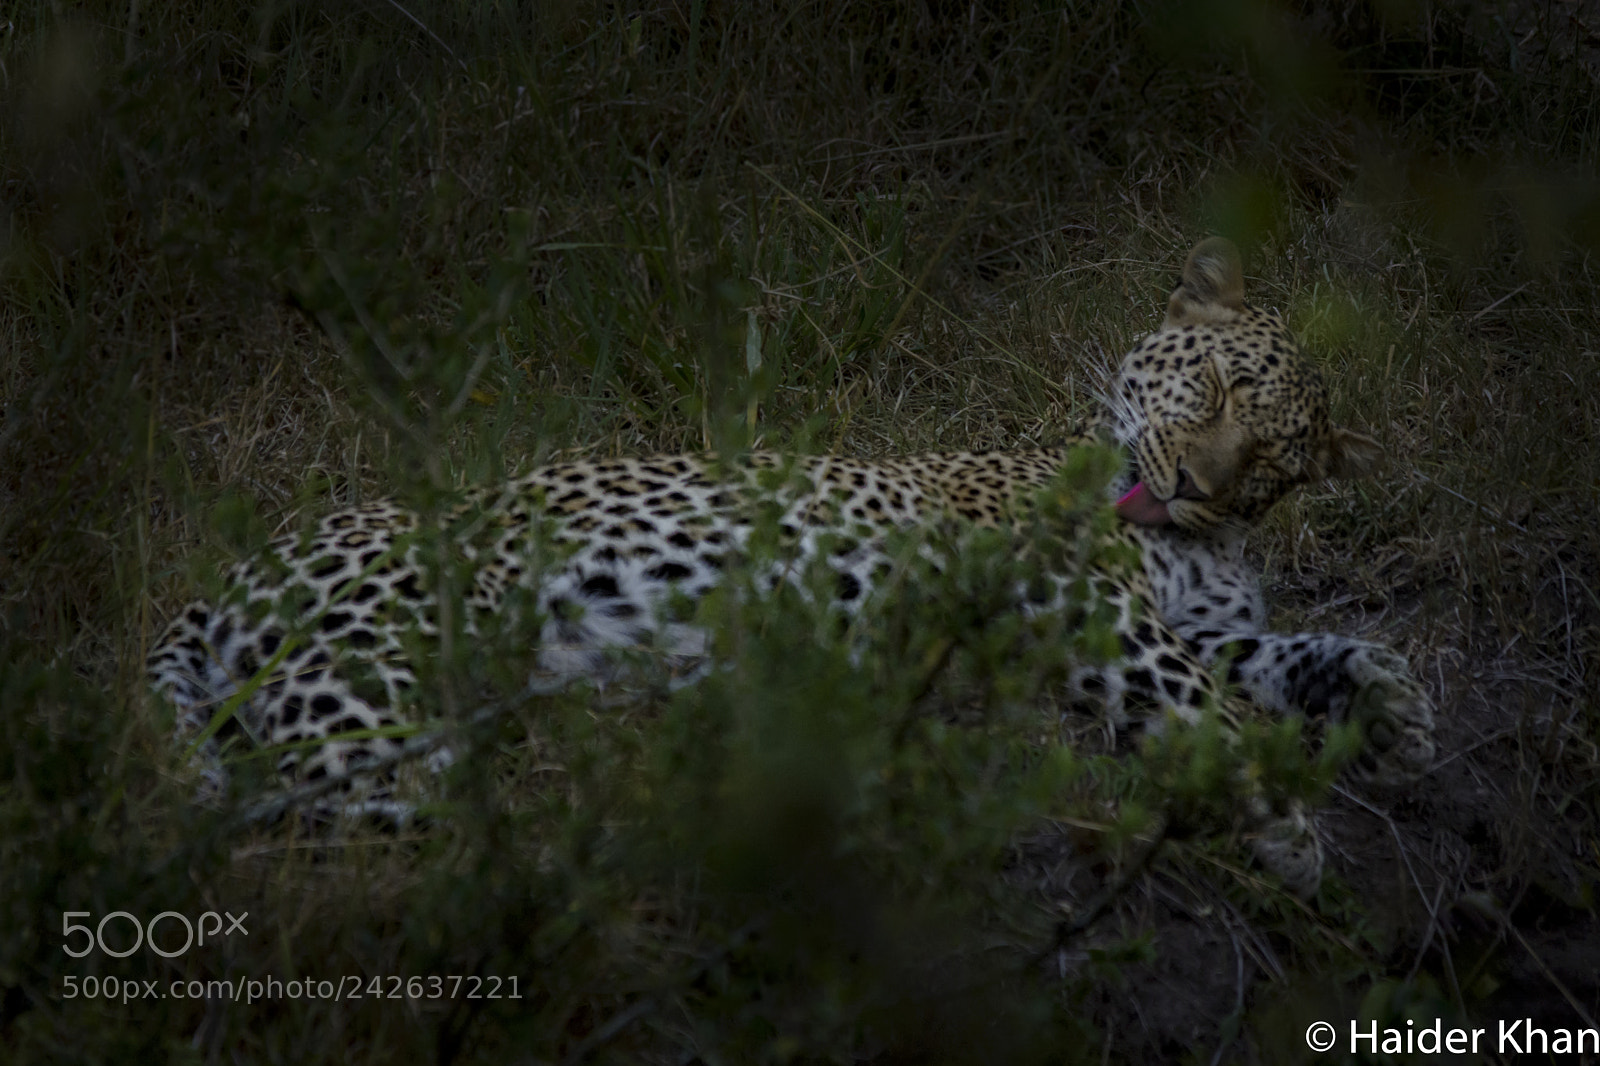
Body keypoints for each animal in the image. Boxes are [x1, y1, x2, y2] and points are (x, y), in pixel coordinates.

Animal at [147, 237, 1436, 896]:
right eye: (1213, 389)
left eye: (1270, 461)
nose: (1189, 485)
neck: (1184, 544)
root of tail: (236, 577)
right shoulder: (1080, 599)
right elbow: (1202, 699)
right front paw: (1286, 820)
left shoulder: (1195, 617)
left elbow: (1289, 651)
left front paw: (1397, 711)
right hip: (383, 658)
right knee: (306, 829)